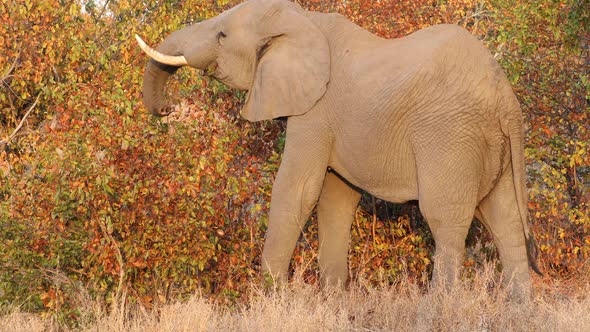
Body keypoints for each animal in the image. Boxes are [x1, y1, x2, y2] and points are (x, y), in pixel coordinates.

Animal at [136, 0, 544, 298]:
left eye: (221, 34)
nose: (167, 110)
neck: (301, 19)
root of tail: (505, 97)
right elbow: (336, 199)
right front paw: (331, 301)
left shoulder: (314, 114)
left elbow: (297, 191)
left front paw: (269, 298)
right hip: (494, 146)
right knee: (505, 221)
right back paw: (519, 309)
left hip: (451, 135)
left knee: (446, 220)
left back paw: (439, 308)